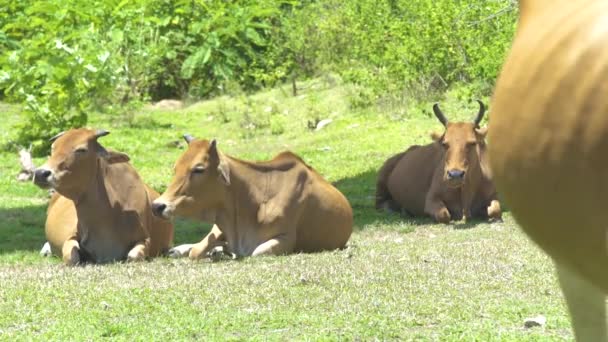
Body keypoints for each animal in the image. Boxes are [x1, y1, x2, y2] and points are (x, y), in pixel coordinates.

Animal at [33, 128, 173, 264]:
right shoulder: (71, 237)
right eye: (53, 148)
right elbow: (71, 258)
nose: (40, 173)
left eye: (81, 150)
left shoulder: (144, 239)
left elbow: (133, 256)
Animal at [150, 136, 354, 260]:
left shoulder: (285, 238)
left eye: (199, 169)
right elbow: (196, 250)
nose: (158, 206)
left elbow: (255, 252)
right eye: (175, 168)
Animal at [376, 101, 504, 224]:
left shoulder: (493, 195)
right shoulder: (431, 199)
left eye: (472, 143)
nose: (455, 175)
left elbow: (495, 210)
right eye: (445, 144)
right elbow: (444, 215)